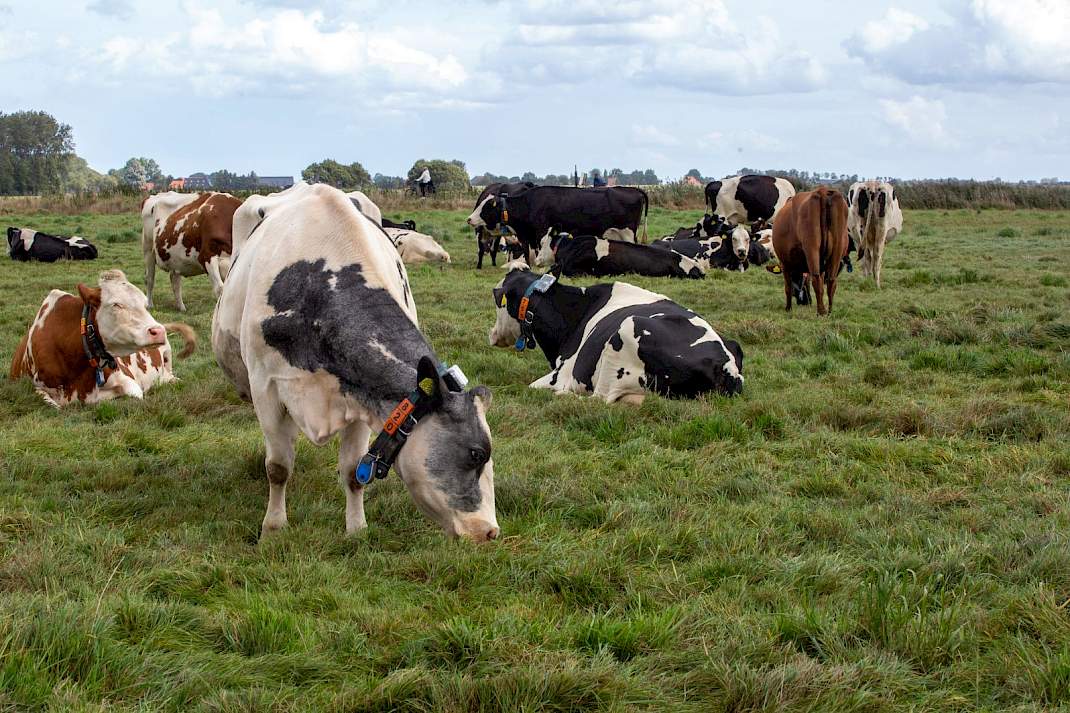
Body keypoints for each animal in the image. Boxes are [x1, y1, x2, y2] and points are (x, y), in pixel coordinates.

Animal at [9, 270, 195, 407]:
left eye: (145, 304)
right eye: (116, 304)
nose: (158, 331)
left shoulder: (129, 381)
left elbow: (134, 395)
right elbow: (47, 400)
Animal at [211, 183, 499, 541]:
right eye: (476, 453)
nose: (490, 531)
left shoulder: (363, 398)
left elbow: (352, 470)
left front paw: (357, 529)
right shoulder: (266, 388)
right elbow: (278, 467)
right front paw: (274, 527)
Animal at [467, 185, 649, 265]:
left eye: (486, 207)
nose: (469, 219)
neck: (528, 203)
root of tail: (634, 189)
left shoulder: (541, 231)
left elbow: (540, 249)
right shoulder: (526, 236)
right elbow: (527, 252)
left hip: (627, 233)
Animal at [488, 264, 743, 403]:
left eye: (497, 301)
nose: (492, 335)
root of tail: (724, 366)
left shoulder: (562, 374)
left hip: (625, 334)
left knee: (599, 399)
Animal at [772, 187, 850, 316]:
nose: (803, 301)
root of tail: (822, 191)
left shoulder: (785, 264)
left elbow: (788, 287)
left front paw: (788, 308)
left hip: (812, 248)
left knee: (816, 279)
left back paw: (821, 312)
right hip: (837, 250)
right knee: (831, 281)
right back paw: (829, 311)